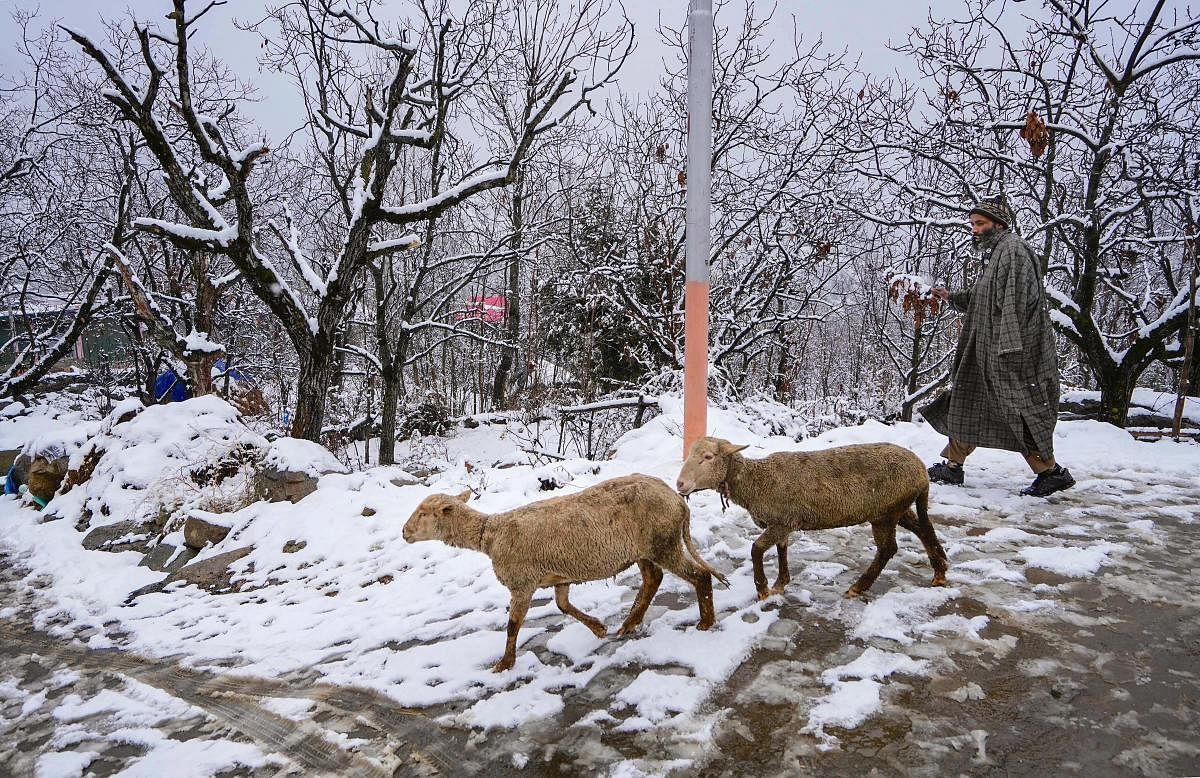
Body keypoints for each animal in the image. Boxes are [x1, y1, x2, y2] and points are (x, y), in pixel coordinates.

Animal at [403, 470, 724, 672]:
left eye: (423, 512)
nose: (404, 532)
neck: (489, 535)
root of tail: (678, 500)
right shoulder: (560, 574)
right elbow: (563, 605)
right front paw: (598, 628)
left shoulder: (522, 583)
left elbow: (513, 625)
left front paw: (504, 664)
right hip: (644, 549)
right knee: (652, 580)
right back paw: (628, 624)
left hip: (663, 542)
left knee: (699, 576)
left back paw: (705, 622)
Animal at [676, 437, 945, 602]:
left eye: (708, 457)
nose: (680, 484)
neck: (757, 483)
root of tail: (922, 472)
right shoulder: (784, 521)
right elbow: (782, 549)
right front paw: (780, 583)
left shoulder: (782, 521)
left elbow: (757, 549)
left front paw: (762, 588)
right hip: (898, 507)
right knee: (923, 529)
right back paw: (940, 572)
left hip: (885, 513)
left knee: (888, 549)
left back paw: (858, 586)